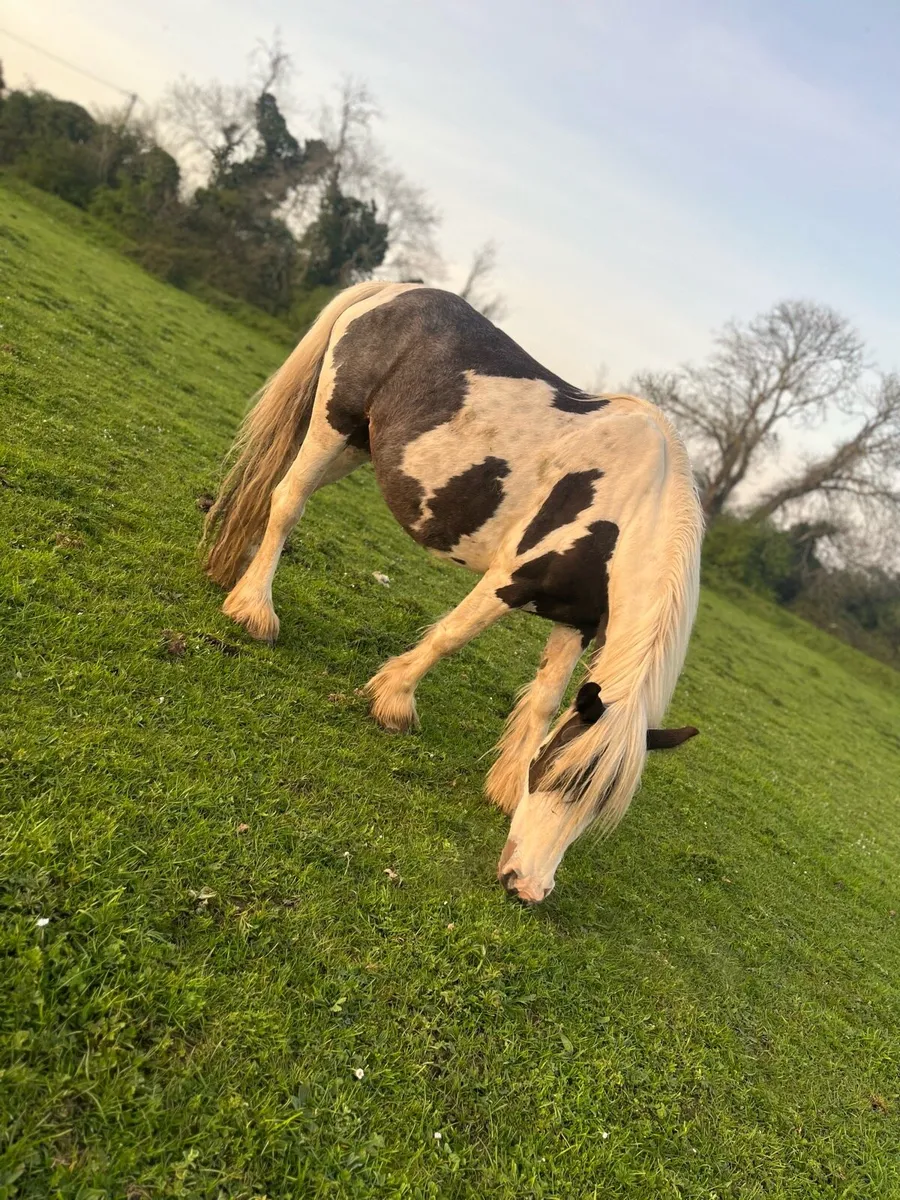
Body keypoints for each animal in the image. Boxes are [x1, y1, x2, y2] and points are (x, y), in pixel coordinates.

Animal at [202, 281, 704, 903]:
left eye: (593, 806)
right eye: (555, 778)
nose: (527, 887)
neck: (631, 510)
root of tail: (399, 289)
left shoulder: (577, 621)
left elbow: (544, 701)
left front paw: (505, 786)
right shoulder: (509, 580)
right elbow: (450, 637)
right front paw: (393, 701)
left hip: (360, 445)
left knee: (268, 491)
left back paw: (232, 574)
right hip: (332, 426)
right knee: (288, 502)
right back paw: (254, 611)